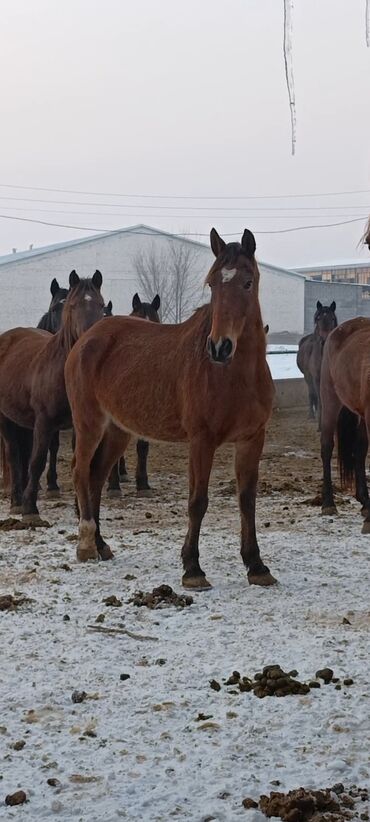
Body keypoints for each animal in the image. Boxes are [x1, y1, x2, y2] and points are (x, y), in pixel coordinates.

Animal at [0, 270, 105, 520]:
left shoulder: (80, 424)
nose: (90, 338)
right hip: (5, 419)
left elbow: (81, 463)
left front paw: (80, 509)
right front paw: (30, 508)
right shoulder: (44, 423)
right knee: (14, 454)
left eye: (101, 305)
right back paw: (16, 500)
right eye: (73, 306)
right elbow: (37, 461)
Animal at [65, 229, 276, 588]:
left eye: (248, 282)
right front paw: (192, 568)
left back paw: (102, 544)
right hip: (89, 424)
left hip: (118, 431)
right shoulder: (201, 441)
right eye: (212, 284)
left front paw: (256, 565)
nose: (219, 347)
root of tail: (84, 340)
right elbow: (197, 501)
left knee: (95, 477)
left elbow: (247, 500)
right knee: (81, 472)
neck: (235, 375)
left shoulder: (252, 438)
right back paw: (86, 545)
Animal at [296, 300, 336, 428]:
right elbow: (319, 398)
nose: (325, 339)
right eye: (318, 318)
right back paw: (312, 415)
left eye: (332, 318)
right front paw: (320, 425)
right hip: (308, 377)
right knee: (312, 394)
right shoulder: (317, 378)